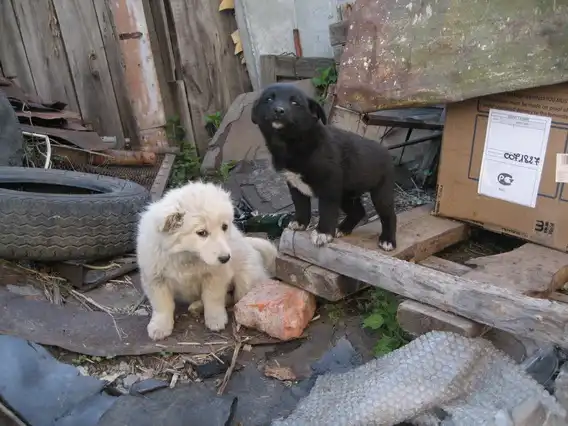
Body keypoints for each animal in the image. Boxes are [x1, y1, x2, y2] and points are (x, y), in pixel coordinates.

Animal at [136, 181, 277, 340]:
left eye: (224, 226)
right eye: (202, 233)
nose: (226, 258)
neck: (187, 255)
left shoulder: (216, 274)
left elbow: (213, 297)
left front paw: (215, 319)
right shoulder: (155, 277)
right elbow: (161, 304)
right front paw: (160, 326)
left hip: (246, 279)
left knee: (234, 297)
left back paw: (198, 306)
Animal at [251, 83, 397, 251]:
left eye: (295, 102)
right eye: (269, 99)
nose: (278, 110)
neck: (293, 143)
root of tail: (386, 152)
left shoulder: (329, 185)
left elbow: (326, 209)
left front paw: (323, 233)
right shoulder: (294, 183)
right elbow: (301, 204)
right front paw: (300, 223)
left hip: (381, 192)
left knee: (389, 215)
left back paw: (388, 240)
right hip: (347, 194)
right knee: (358, 211)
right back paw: (343, 228)